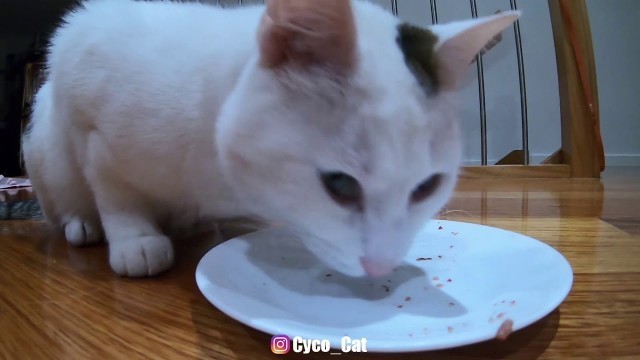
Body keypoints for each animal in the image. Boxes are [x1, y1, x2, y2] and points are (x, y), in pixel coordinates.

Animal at [22, 0, 520, 278]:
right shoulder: (91, 121)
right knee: (67, 198)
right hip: (45, 139)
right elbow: (115, 195)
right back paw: (84, 225)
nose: (380, 266)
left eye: (426, 188)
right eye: (340, 185)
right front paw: (135, 239)